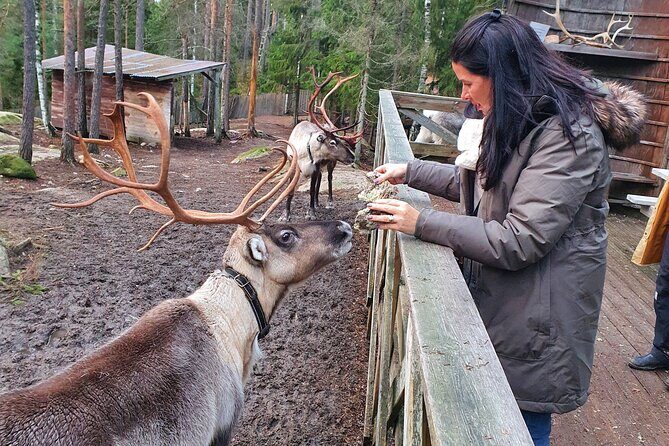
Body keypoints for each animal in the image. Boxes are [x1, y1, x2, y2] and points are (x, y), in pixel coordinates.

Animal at [281, 68, 363, 221]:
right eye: (332, 142)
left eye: (342, 142)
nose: (352, 157)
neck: (305, 153)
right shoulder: (292, 164)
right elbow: (290, 190)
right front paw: (285, 214)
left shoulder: (315, 167)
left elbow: (312, 190)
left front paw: (311, 212)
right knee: (320, 179)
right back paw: (317, 203)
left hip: (331, 163)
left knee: (329, 179)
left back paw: (328, 202)